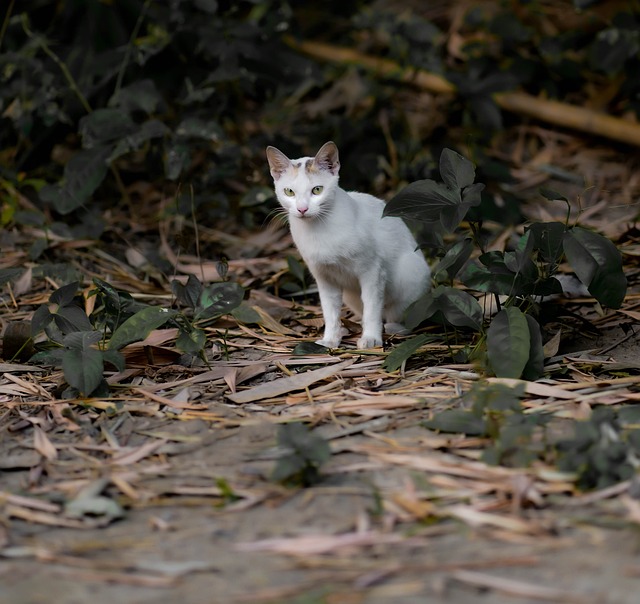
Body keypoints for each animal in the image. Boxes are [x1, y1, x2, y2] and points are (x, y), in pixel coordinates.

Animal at [264, 142, 430, 350]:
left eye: (317, 190)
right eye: (289, 192)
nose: (302, 209)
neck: (318, 230)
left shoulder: (372, 271)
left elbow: (372, 308)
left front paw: (371, 338)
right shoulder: (324, 278)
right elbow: (330, 312)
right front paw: (330, 339)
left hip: (410, 272)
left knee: (396, 314)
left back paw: (393, 327)